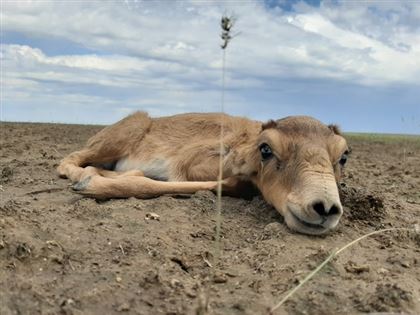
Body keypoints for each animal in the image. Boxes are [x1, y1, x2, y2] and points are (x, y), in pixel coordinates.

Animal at [57, 112, 350, 236]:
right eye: (266, 149)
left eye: (344, 156)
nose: (324, 207)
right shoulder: (191, 162)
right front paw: (92, 183)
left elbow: (233, 184)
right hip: (120, 135)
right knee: (67, 160)